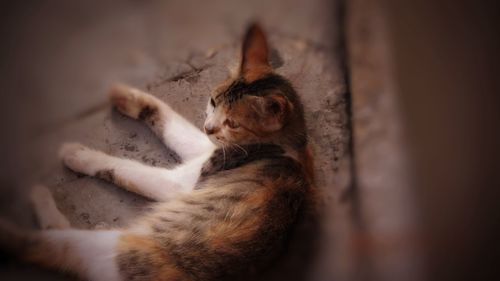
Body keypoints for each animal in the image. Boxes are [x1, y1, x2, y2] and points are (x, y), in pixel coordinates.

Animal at [0, 22, 312, 280]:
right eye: (213, 101)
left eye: (233, 123)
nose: (209, 126)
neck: (284, 145)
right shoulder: (204, 145)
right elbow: (168, 120)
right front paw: (125, 95)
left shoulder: (182, 180)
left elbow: (124, 168)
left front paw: (78, 154)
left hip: (117, 250)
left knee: (46, 245)